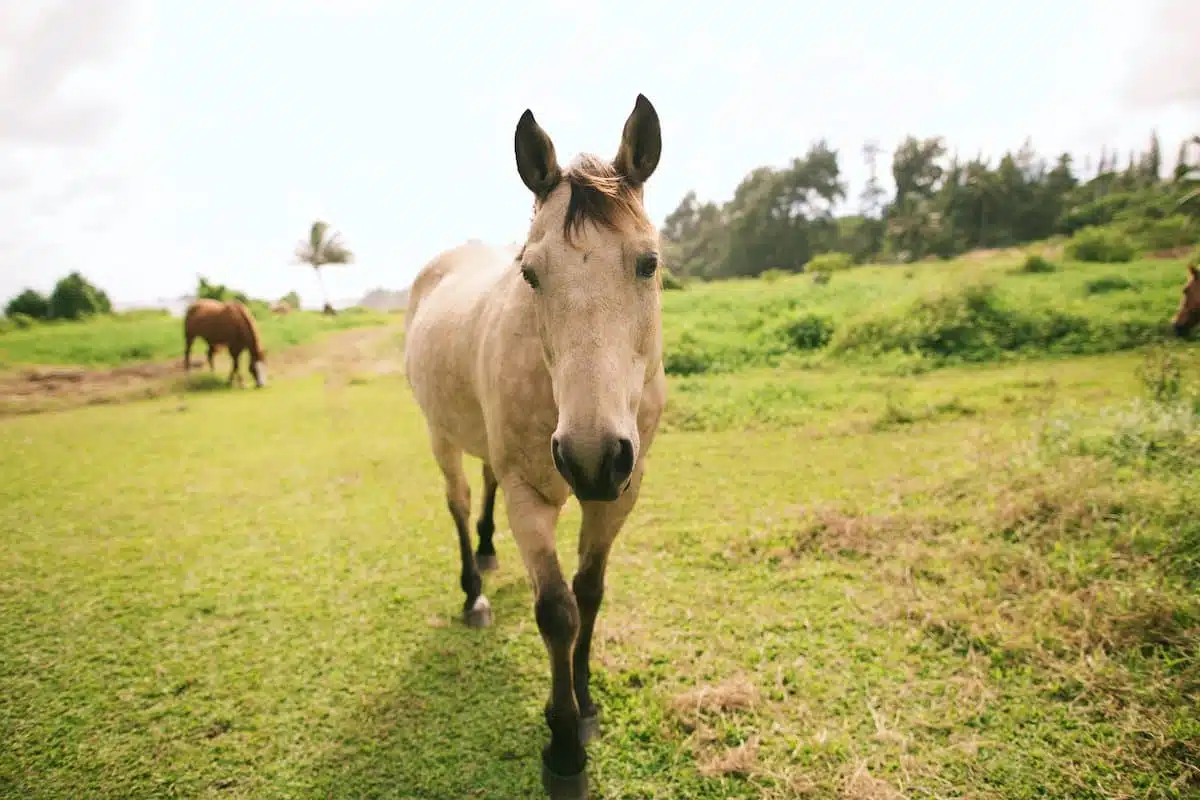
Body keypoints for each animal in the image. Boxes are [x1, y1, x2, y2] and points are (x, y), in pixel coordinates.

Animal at [403, 94, 665, 799]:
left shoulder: (620, 494)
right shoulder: (531, 496)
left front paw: (586, 700)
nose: (591, 457)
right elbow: (557, 611)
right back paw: (474, 592)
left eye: (648, 263)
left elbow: (590, 592)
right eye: (531, 273)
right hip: (439, 436)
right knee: (459, 501)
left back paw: (491, 553)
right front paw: (564, 746)